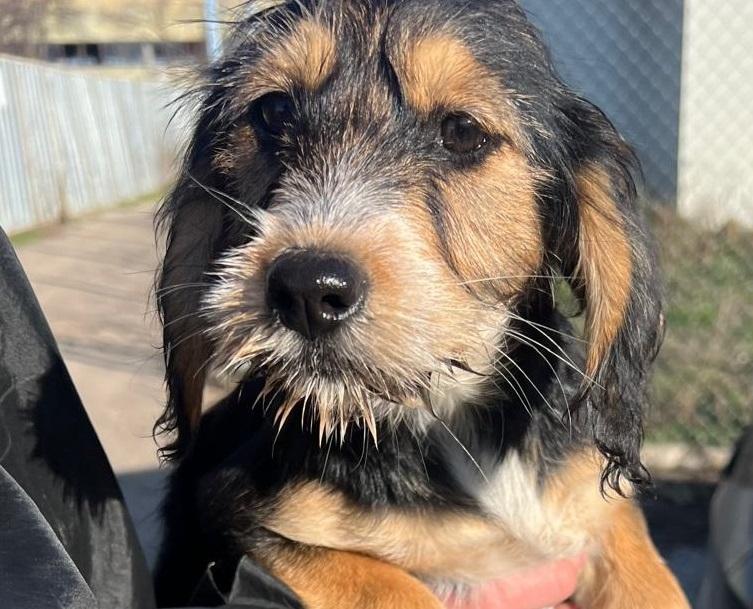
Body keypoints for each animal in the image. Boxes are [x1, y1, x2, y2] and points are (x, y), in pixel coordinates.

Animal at [153, 1, 690, 607]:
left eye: (462, 132)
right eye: (273, 112)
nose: (307, 289)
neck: (449, 416)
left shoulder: (597, 507)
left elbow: (648, 577)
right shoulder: (247, 518)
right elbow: (391, 585)